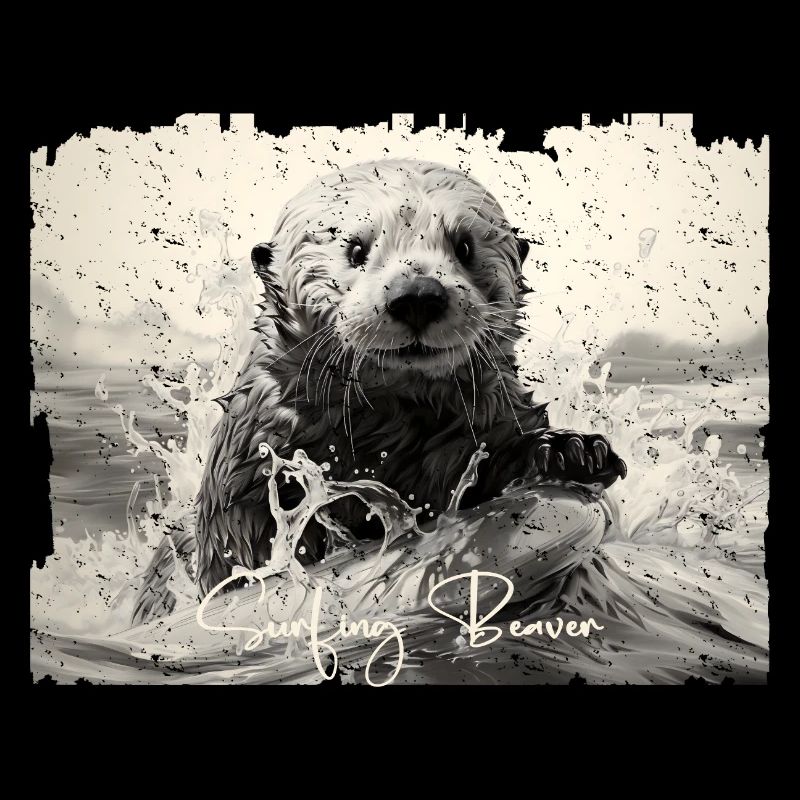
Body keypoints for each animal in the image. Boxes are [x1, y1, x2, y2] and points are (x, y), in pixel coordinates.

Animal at [191, 159, 627, 597]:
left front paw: (572, 450)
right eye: (355, 249)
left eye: (464, 247)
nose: (418, 294)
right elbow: (247, 540)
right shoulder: (251, 459)